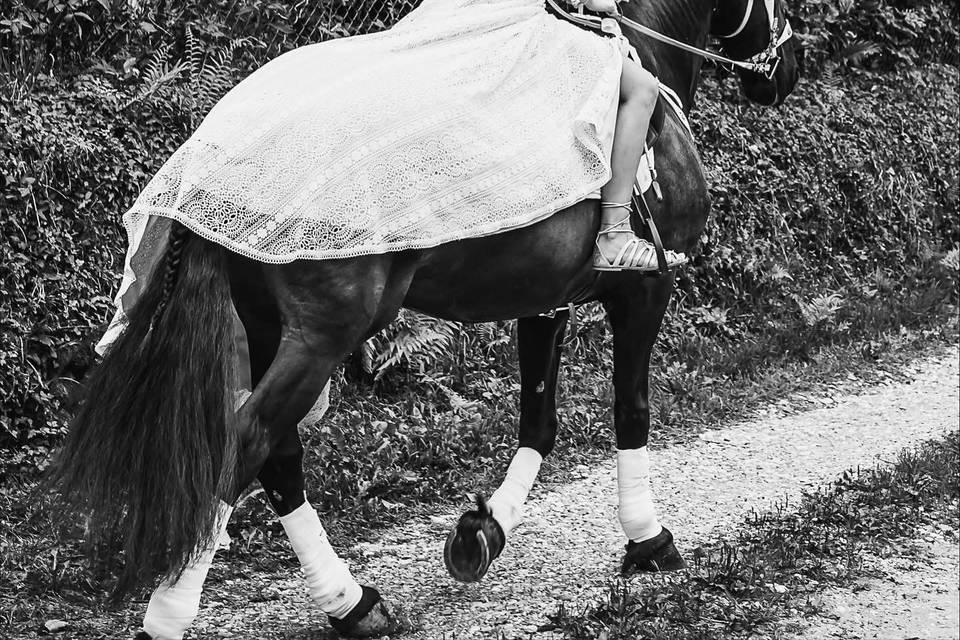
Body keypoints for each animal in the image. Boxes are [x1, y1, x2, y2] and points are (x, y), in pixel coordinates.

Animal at [51, 0, 800, 637]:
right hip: (322, 335)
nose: (786, 70)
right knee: (250, 441)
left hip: (268, 327)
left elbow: (538, 419)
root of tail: (216, 162)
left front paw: (485, 531)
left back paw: (351, 604)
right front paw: (647, 539)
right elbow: (632, 408)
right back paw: (174, 613)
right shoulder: (645, 290)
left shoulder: (544, 296)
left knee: (280, 457)